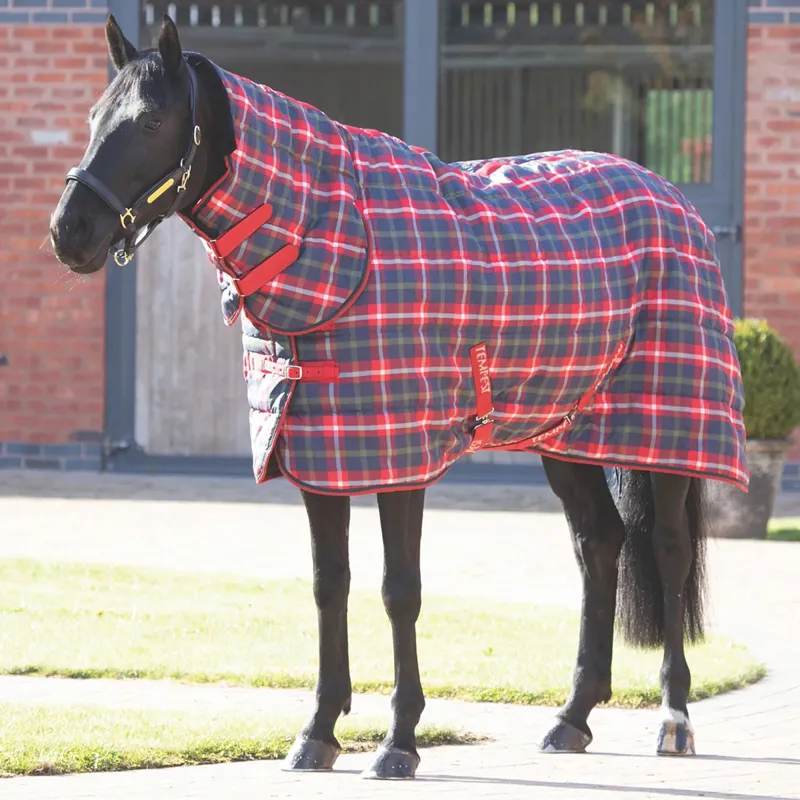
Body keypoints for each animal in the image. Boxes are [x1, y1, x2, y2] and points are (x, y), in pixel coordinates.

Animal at [49, 14, 748, 780]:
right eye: (93, 116)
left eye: (149, 121)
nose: (69, 232)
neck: (337, 244)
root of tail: (673, 199)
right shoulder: (317, 450)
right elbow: (330, 584)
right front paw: (318, 733)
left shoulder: (400, 459)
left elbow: (398, 590)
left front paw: (398, 742)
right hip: (563, 435)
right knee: (600, 543)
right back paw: (571, 717)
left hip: (671, 434)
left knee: (669, 551)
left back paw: (674, 719)